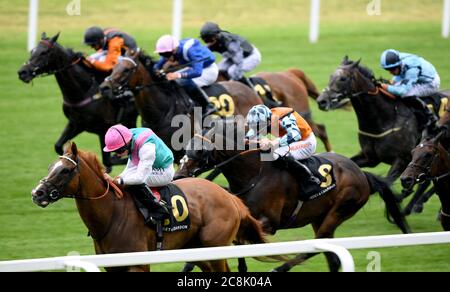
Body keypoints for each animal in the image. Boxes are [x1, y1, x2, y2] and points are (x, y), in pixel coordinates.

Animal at [17, 32, 137, 172]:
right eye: (32, 51)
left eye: (44, 52)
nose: (22, 72)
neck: (84, 91)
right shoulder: (76, 123)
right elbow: (58, 146)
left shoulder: (104, 128)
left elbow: (108, 160)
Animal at [30, 141, 274, 272]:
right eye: (51, 166)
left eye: (65, 170)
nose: (37, 193)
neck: (112, 216)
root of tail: (230, 197)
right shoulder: (112, 265)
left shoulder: (138, 264)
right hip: (198, 250)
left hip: (214, 247)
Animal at [98, 52, 260, 162]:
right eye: (114, 66)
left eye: (126, 69)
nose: (104, 87)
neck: (162, 111)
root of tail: (250, 90)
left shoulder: (181, 152)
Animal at [177, 121, 412, 272]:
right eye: (187, 145)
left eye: (199, 150)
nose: (179, 174)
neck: (254, 174)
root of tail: (362, 175)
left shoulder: (268, 222)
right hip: (319, 216)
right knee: (331, 256)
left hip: (341, 208)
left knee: (317, 244)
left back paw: (280, 268)